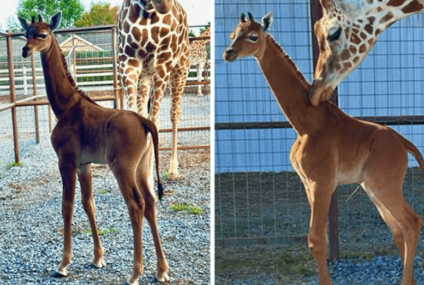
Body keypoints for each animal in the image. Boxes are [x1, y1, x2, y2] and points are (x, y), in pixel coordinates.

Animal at [18, 11, 170, 284]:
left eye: (43, 34)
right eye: (27, 33)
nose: (25, 50)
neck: (65, 107)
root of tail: (145, 122)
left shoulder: (66, 161)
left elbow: (67, 205)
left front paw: (63, 264)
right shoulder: (84, 165)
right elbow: (88, 203)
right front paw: (98, 258)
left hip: (123, 168)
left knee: (136, 205)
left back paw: (135, 273)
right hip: (142, 168)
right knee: (151, 202)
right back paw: (161, 270)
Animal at [117, 0, 190, 178]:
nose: (165, 4)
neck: (148, 10)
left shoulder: (163, 62)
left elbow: (154, 122)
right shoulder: (128, 61)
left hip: (180, 70)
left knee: (174, 113)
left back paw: (173, 168)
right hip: (146, 76)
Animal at [224, 12, 422, 284]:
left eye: (253, 36)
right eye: (233, 34)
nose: (228, 53)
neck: (305, 123)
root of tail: (404, 143)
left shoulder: (323, 183)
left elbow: (317, 240)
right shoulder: (308, 184)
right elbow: (318, 239)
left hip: (384, 185)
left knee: (411, 222)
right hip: (372, 187)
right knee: (398, 229)